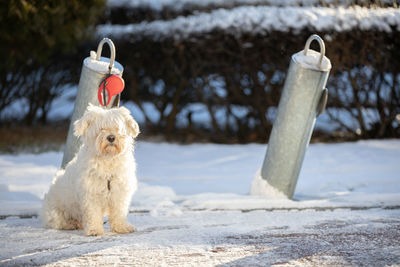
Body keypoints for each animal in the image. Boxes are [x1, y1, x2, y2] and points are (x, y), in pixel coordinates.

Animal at [40, 104, 140, 237]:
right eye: (101, 129)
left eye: (117, 128)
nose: (111, 137)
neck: (108, 160)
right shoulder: (90, 194)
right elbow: (93, 213)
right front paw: (94, 230)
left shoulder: (119, 192)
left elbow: (119, 212)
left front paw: (121, 227)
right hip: (55, 211)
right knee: (57, 222)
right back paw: (72, 224)